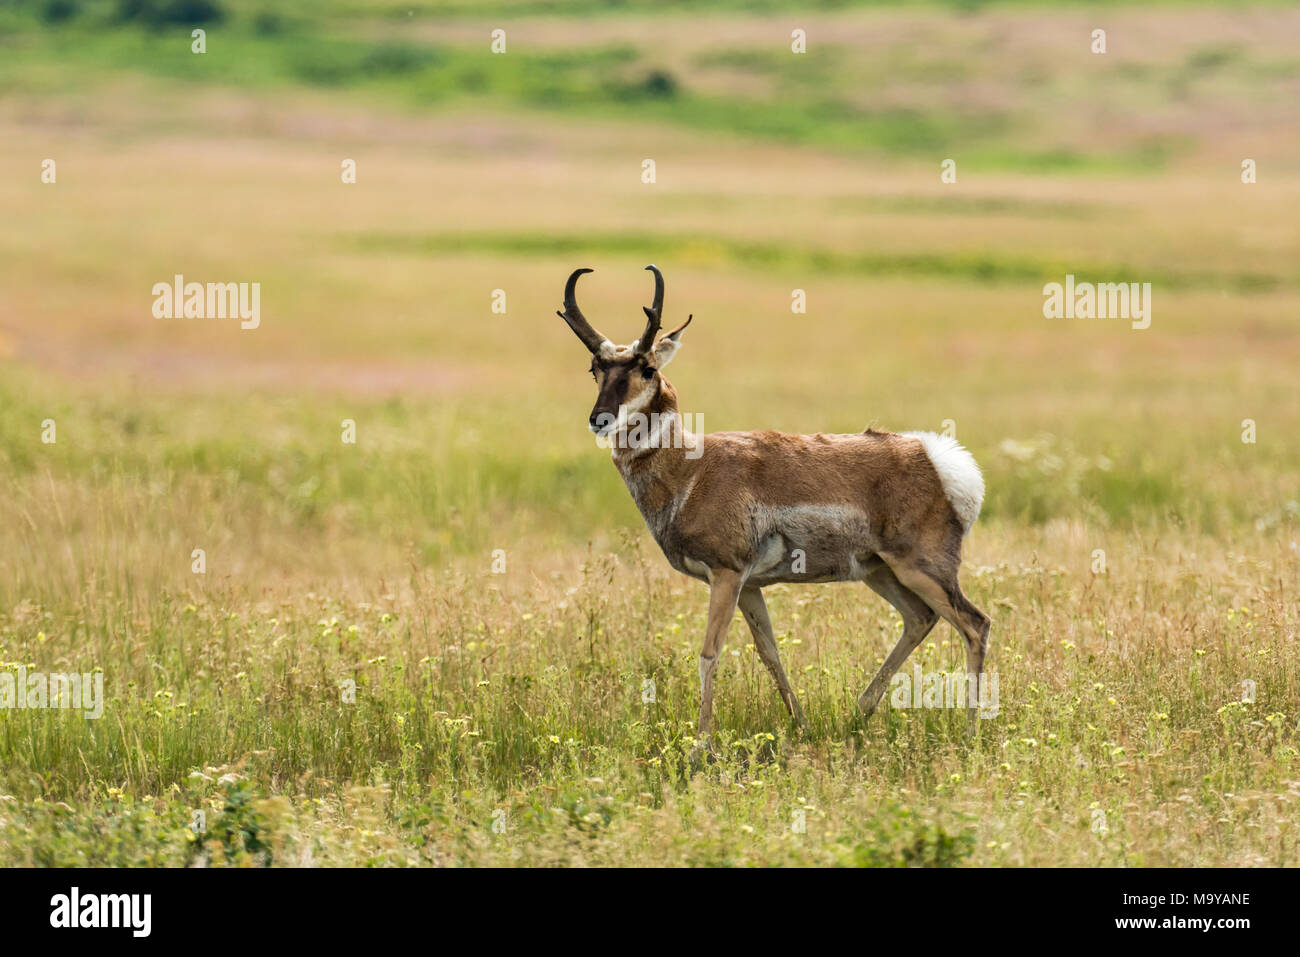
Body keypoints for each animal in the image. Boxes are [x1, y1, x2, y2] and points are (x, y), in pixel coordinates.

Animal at [553, 267, 987, 738]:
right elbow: (770, 654)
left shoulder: (727, 574)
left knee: (974, 624)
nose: (599, 419)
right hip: (880, 571)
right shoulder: (750, 586)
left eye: (647, 368)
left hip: (919, 568)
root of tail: (937, 457)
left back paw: (970, 732)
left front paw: (701, 743)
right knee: (920, 618)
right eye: (595, 368)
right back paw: (860, 710)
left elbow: (709, 654)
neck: (693, 469)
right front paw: (801, 723)